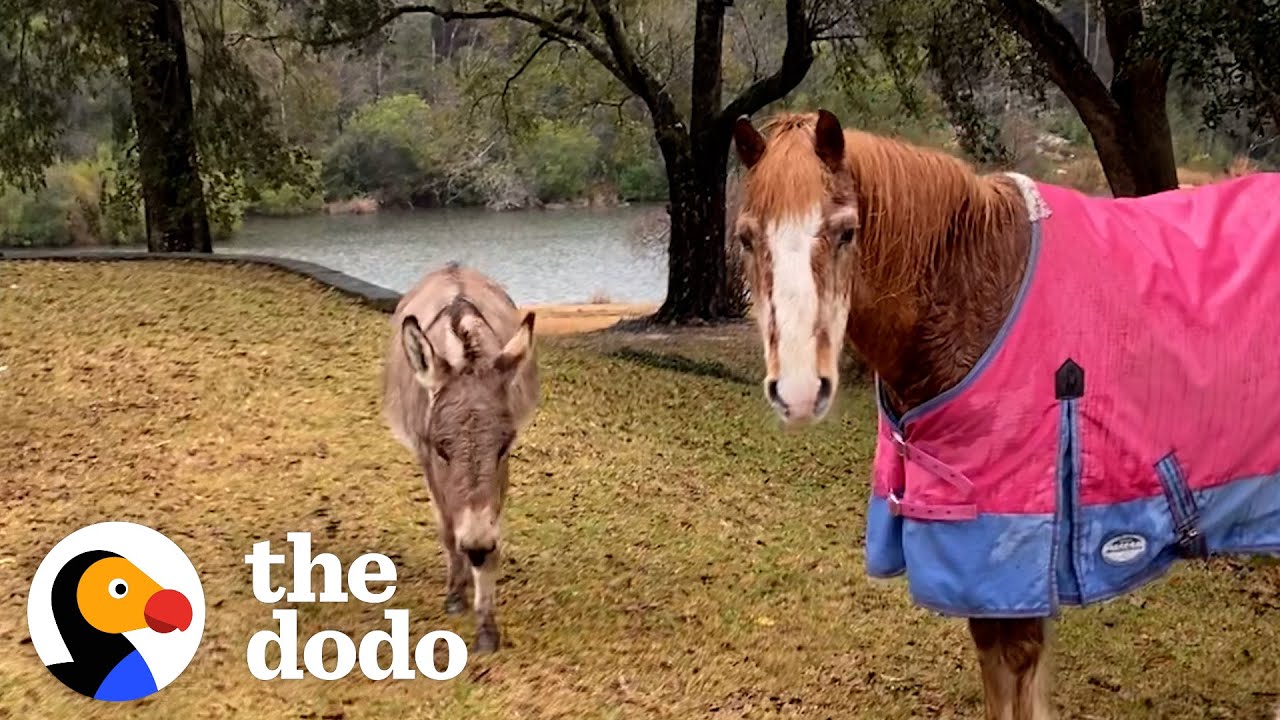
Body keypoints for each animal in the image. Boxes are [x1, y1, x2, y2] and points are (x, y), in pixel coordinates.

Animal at [732, 109, 1280, 712]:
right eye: (746, 237)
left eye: (847, 230)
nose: (799, 390)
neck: (972, 290)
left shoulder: (1013, 554)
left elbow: (1019, 666)